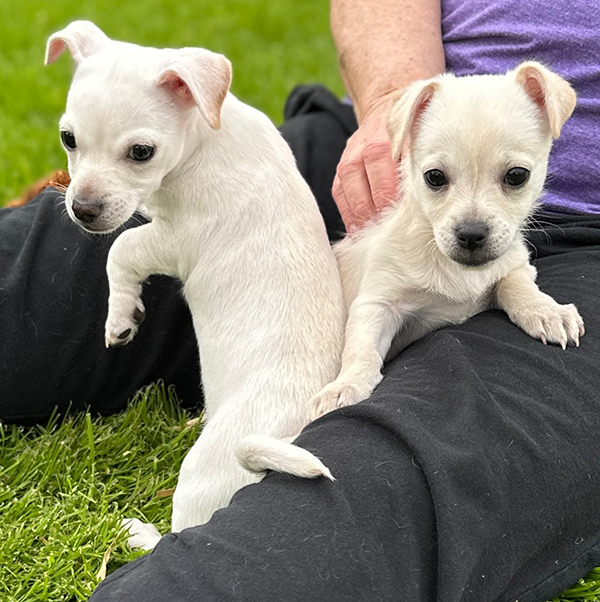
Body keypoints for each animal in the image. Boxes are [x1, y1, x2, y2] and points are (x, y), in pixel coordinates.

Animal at [47, 21, 344, 548]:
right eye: (68, 138)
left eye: (141, 152)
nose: (82, 209)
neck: (207, 139)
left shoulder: (172, 241)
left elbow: (121, 250)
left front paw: (121, 317)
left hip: (203, 471)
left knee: (183, 533)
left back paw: (138, 534)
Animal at [312, 61, 584, 418]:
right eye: (434, 177)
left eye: (517, 176)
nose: (471, 234)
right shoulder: (377, 302)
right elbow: (362, 349)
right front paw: (344, 387)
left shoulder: (516, 264)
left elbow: (518, 286)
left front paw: (547, 312)